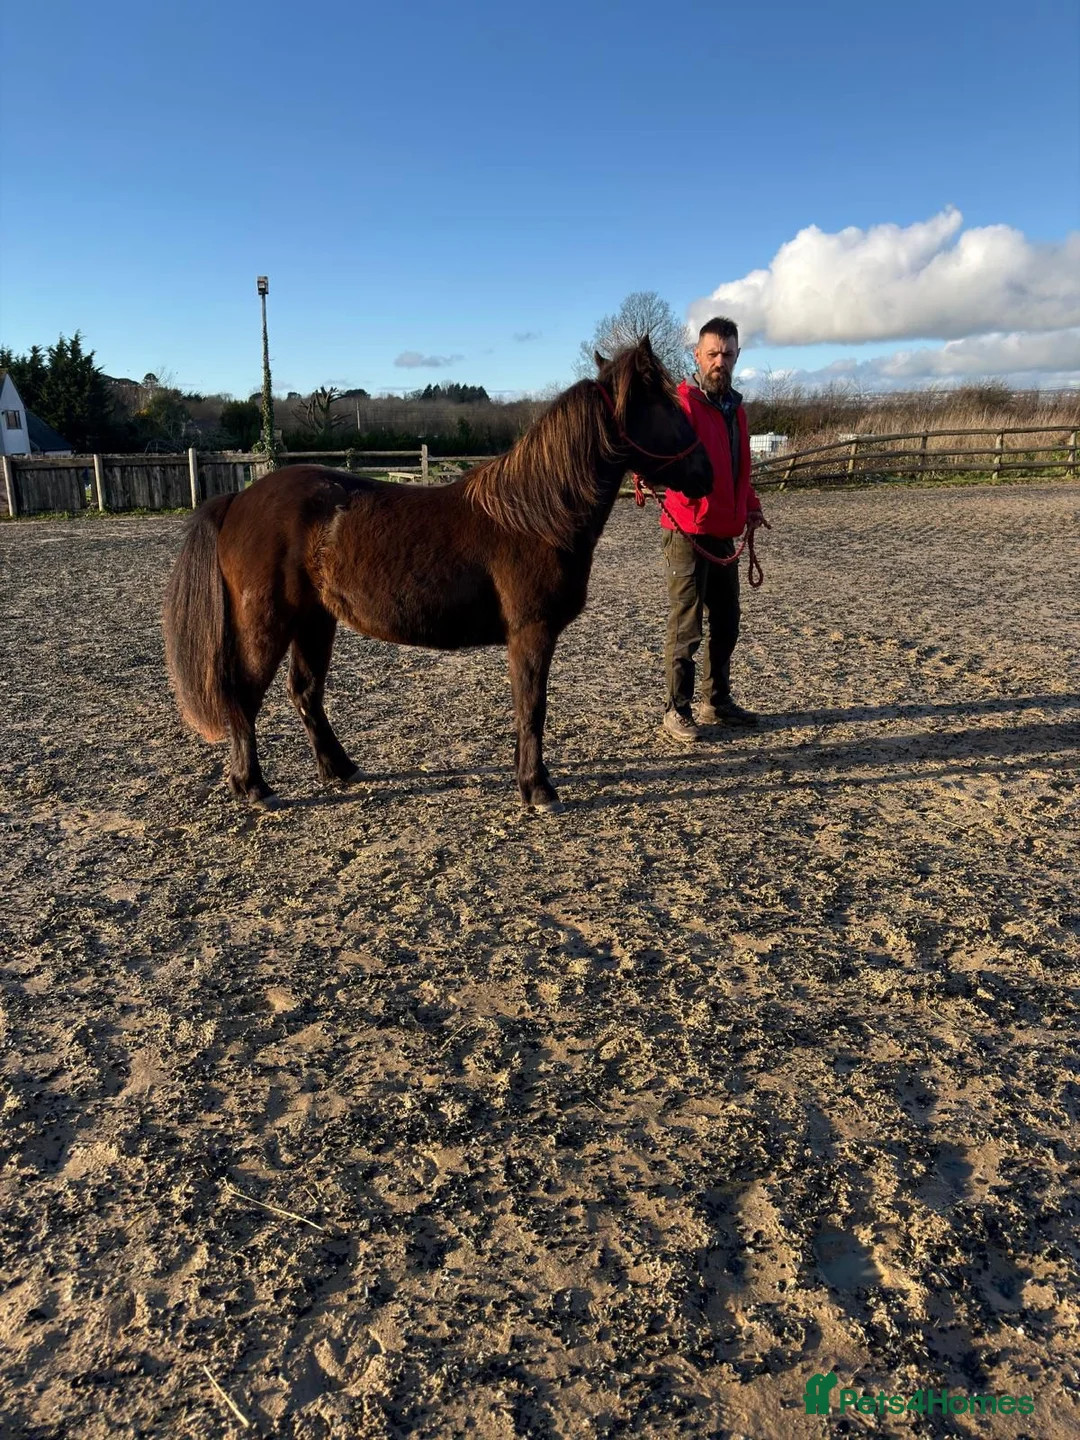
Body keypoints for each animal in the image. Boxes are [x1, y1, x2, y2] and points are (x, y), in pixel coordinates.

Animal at [162, 336, 713, 810]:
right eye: (669, 406)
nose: (707, 474)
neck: (534, 516)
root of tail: (237, 500)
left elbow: (526, 710)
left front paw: (526, 780)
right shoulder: (531, 632)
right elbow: (532, 709)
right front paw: (538, 789)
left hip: (315, 620)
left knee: (305, 692)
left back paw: (340, 769)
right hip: (268, 623)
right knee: (244, 696)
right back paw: (254, 786)